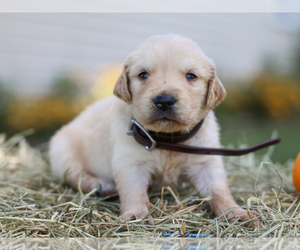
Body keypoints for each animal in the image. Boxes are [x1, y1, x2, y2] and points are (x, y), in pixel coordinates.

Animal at [49, 33, 255, 225]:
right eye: (143, 74)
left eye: (191, 76)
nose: (164, 101)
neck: (168, 139)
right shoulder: (130, 161)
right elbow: (134, 191)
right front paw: (135, 215)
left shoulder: (206, 161)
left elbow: (219, 190)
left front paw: (236, 212)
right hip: (63, 150)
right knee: (75, 175)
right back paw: (101, 185)